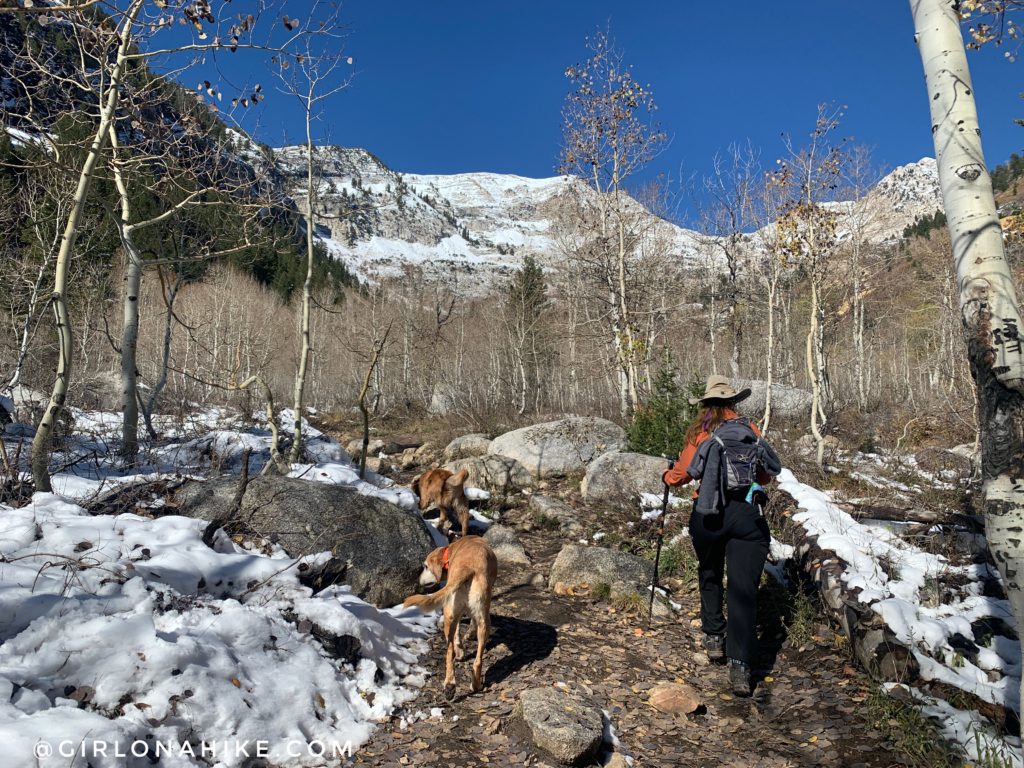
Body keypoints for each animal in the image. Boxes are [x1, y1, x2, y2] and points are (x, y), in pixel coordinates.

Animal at [401, 536, 497, 700]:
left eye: (425, 566)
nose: (418, 580)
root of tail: (468, 567)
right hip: (483, 620)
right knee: (477, 660)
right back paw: (474, 685)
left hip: (449, 613)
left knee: (449, 651)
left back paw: (450, 685)